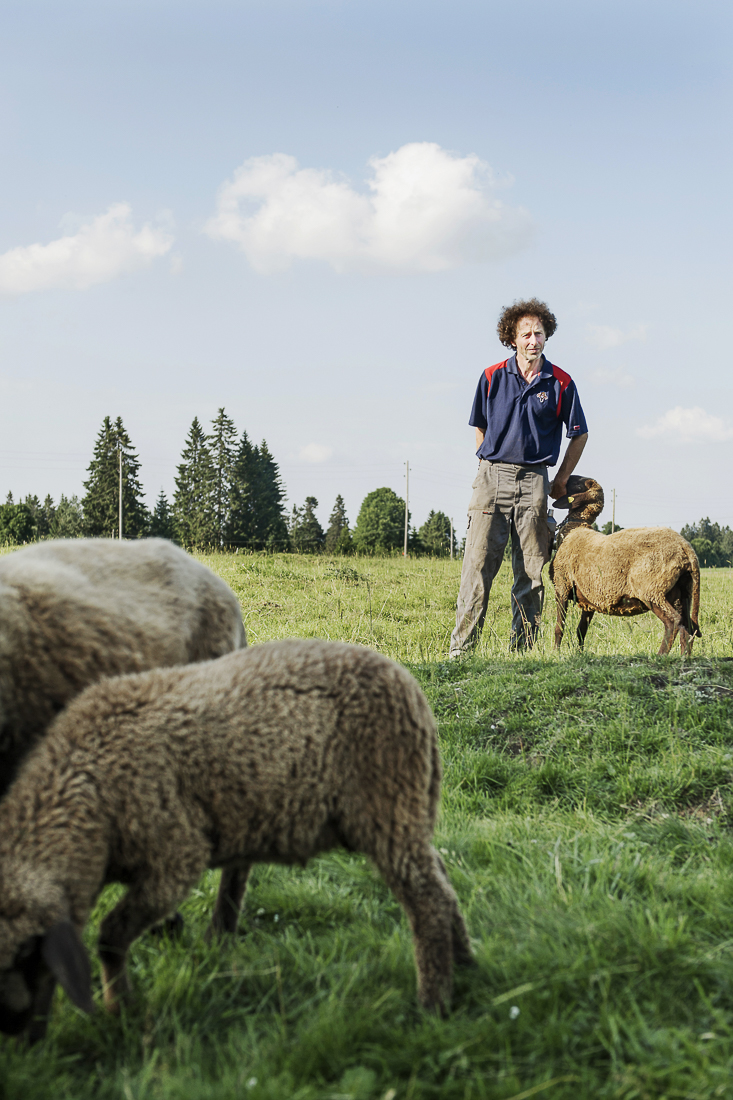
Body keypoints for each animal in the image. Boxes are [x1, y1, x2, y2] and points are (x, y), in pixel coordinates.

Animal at [0, 638, 471, 1038]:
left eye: (24, 958)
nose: (19, 1037)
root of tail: (411, 688)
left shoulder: (175, 857)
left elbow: (110, 935)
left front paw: (121, 1009)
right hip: (409, 811)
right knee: (443, 882)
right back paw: (466, 964)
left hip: (387, 807)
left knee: (428, 899)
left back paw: (433, 1003)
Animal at [548, 475, 704, 651]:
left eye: (578, 483)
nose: (553, 482)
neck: (574, 529)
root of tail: (685, 548)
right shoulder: (590, 596)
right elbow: (581, 630)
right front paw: (579, 653)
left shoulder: (562, 585)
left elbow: (559, 627)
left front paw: (556, 652)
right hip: (682, 592)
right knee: (688, 628)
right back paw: (684, 656)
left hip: (652, 589)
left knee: (673, 621)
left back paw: (660, 655)